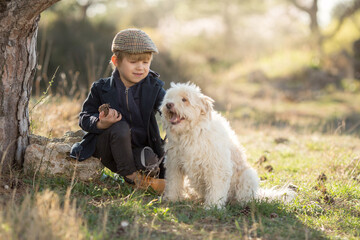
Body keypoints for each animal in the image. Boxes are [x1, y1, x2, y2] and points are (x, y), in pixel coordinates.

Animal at [161, 82, 296, 208]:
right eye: (169, 98)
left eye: (184, 99)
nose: (168, 105)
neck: (191, 133)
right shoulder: (174, 164)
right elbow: (173, 183)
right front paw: (171, 199)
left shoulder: (218, 167)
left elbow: (216, 189)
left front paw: (213, 207)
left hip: (248, 176)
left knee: (243, 198)